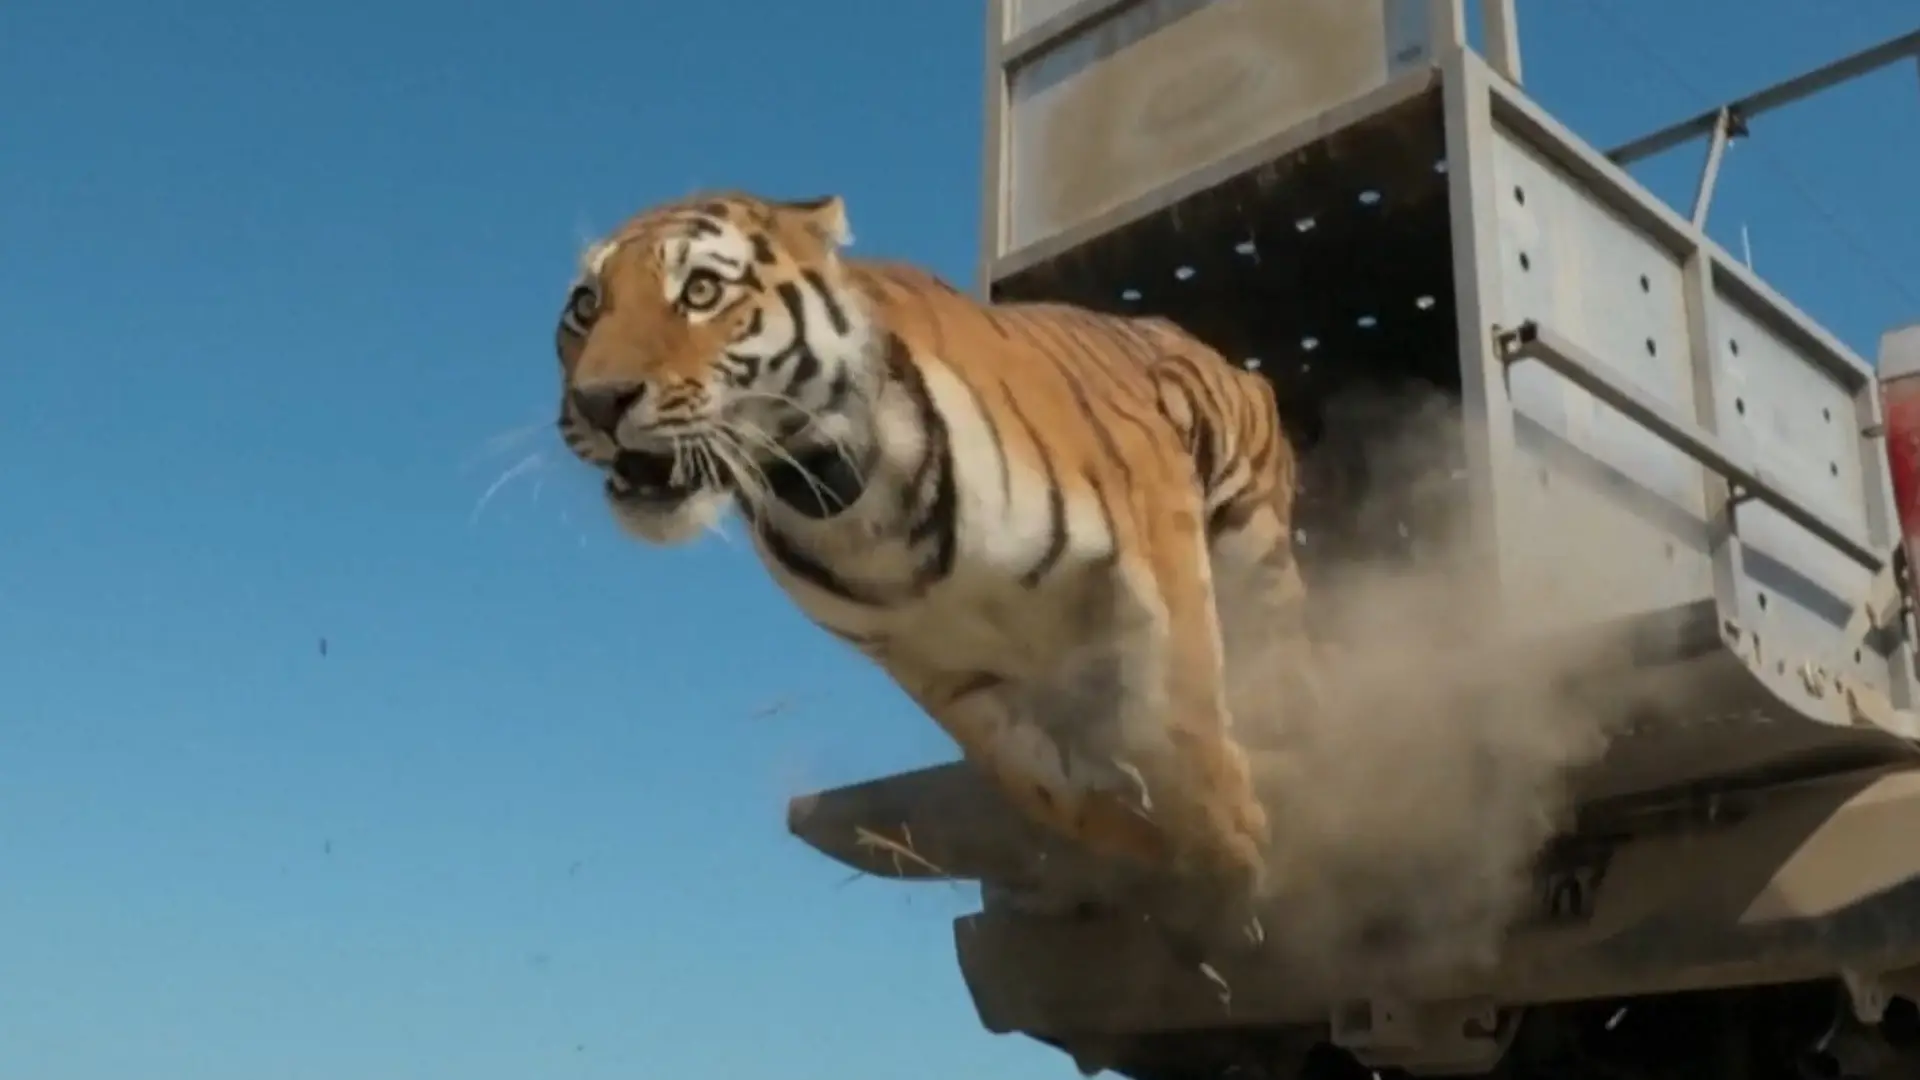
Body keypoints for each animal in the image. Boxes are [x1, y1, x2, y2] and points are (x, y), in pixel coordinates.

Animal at [551, 190, 1312, 945]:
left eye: (702, 290)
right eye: (586, 306)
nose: (598, 400)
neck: (833, 499)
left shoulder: (1150, 531)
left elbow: (1177, 708)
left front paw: (1229, 849)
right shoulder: (936, 665)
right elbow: (1039, 782)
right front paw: (1137, 843)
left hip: (1252, 549)